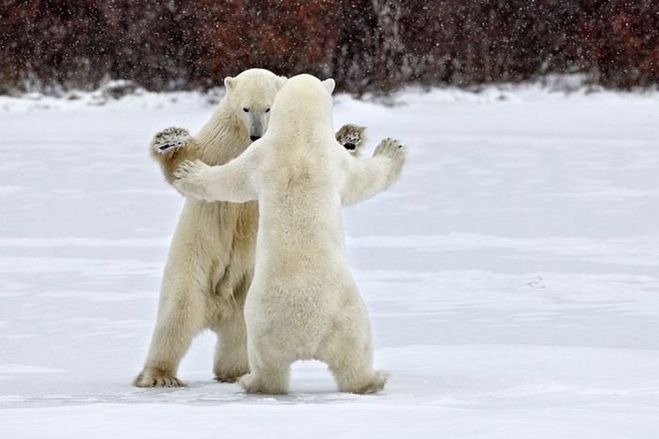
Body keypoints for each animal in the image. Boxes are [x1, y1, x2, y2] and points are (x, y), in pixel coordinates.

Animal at [136, 67, 368, 386]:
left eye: (268, 108)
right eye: (246, 108)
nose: (256, 135)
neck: (244, 140)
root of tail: (216, 307)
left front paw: (349, 139)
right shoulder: (220, 142)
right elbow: (188, 167)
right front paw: (170, 141)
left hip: (246, 286)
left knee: (239, 333)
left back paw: (236, 372)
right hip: (194, 261)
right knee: (178, 314)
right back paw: (160, 375)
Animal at [173, 74, 404, 394]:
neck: (299, 133)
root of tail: (306, 337)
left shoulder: (264, 156)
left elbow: (232, 180)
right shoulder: (312, 157)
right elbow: (365, 179)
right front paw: (392, 148)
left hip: (274, 326)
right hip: (331, 318)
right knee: (350, 358)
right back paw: (373, 379)